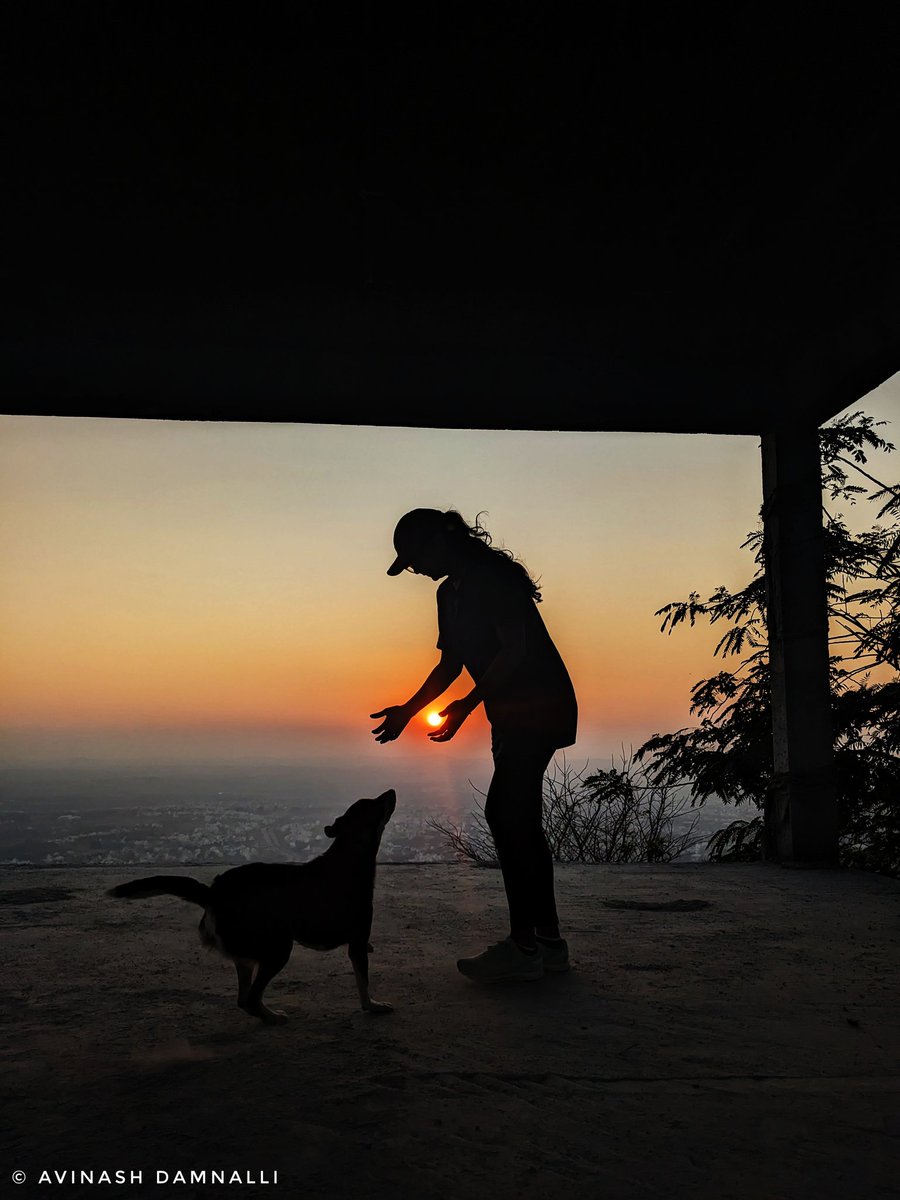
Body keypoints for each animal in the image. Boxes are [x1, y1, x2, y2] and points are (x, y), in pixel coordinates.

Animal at [107, 787, 396, 1022]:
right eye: (374, 803)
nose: (391, 791)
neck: (349, 855)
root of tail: (213, 892)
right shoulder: (357, 942)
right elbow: (363, 981)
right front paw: (373, 1006)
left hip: (247, 955)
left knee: (244, 1000)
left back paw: (268, 1015)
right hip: (278, 948)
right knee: (252, 997)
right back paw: (274, 1018)